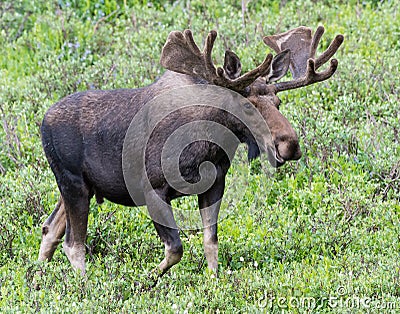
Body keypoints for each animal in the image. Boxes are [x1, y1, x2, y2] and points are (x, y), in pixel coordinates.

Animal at [38, 25, 344, 282]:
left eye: (278, 101)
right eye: (247, 106)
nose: (290, 145)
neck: (209, 145)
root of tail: (42, 121)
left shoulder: (214, 185)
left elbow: (210, 240)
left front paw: (213, 282)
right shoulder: (152, 190)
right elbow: (176, 248)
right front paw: (147, 279)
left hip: (82, 187)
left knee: (49, 228)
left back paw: (39, 275)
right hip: (73, 183)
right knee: (73, 243)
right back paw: (85, 287)